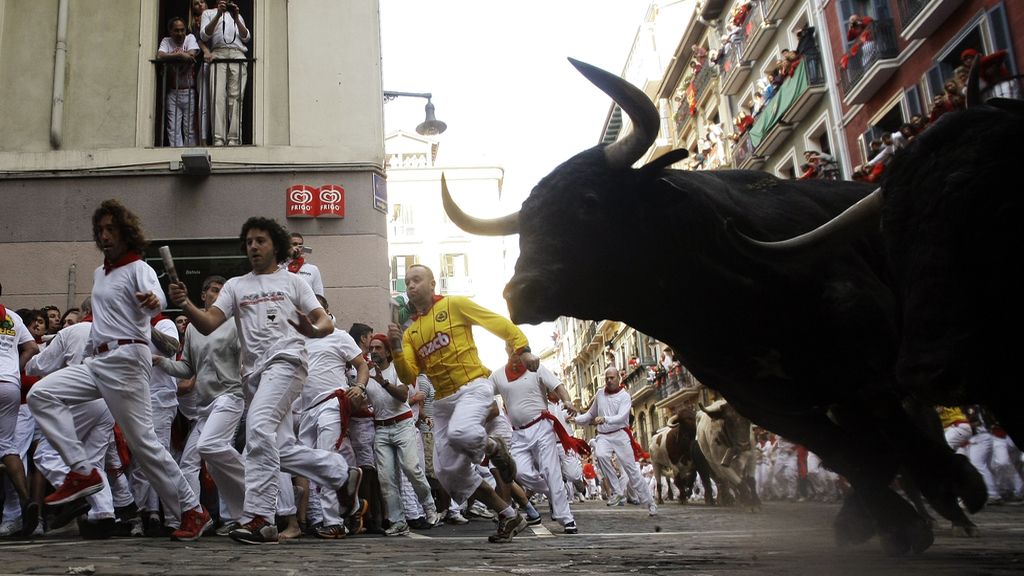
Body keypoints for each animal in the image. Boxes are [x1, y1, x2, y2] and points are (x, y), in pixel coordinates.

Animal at [444, 57, 987, 553]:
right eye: (525, 225)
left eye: (589, 201)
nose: (520, 292)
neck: (726, 292)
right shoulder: (759, 396)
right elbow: (848, 452)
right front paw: (900, 522)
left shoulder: (864, 354)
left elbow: (884, 434)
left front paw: (945, 491)